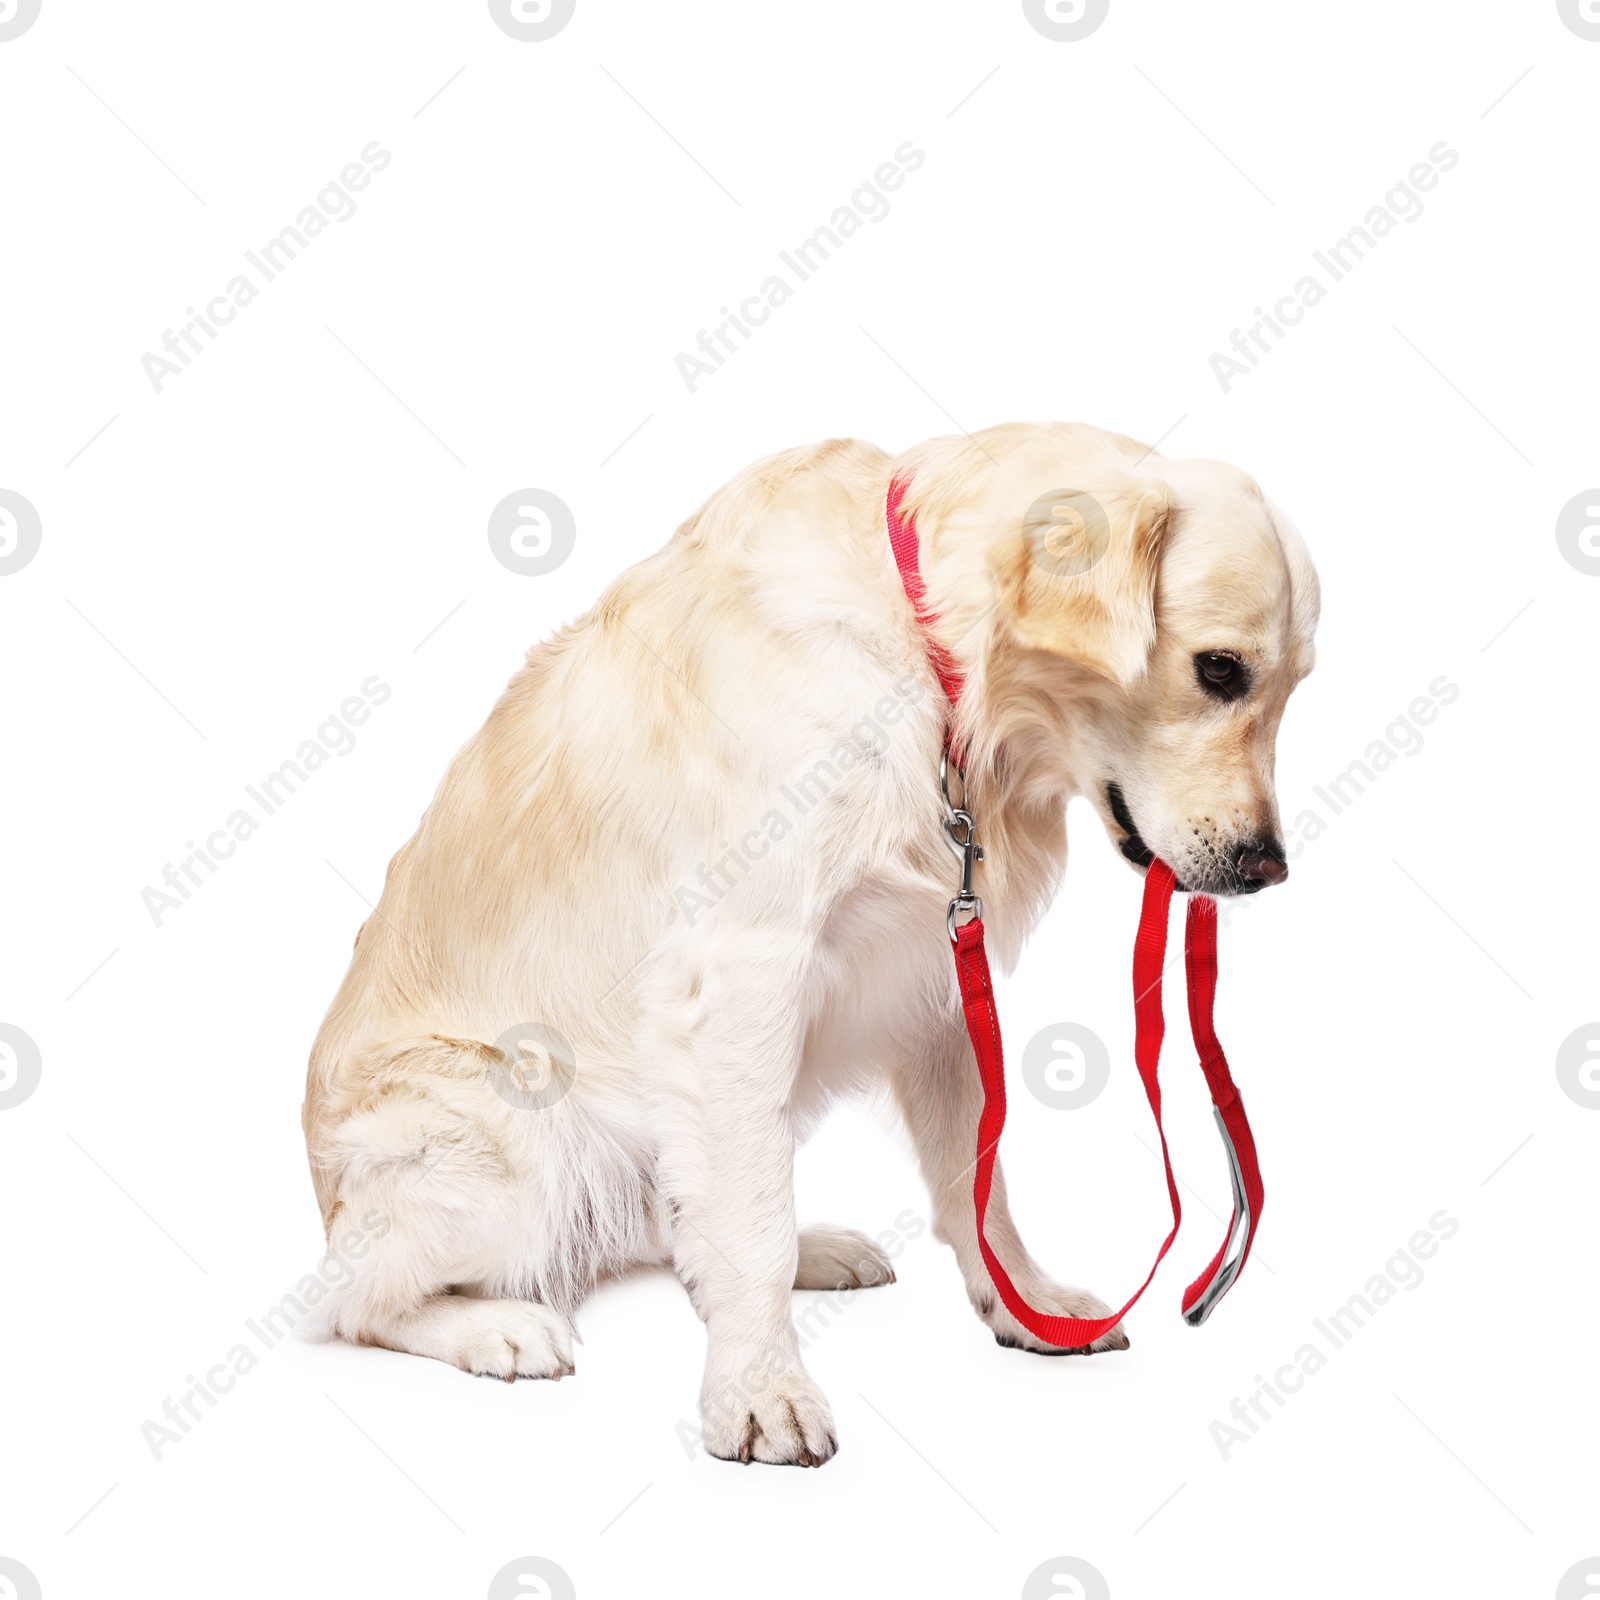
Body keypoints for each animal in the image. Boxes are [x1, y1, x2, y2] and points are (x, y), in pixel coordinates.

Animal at [297, 422, 1312, 1465]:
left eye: (1293, 685)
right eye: (1219, 669)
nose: (1269, 867)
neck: (927, 655)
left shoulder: (936, 969)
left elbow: (974, 1176)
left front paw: (1024, 1302)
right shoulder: (744, 971)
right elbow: (751, 1218)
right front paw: (759, 1390)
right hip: (516, 1128)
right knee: (346, 1303)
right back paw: (498, 1326)